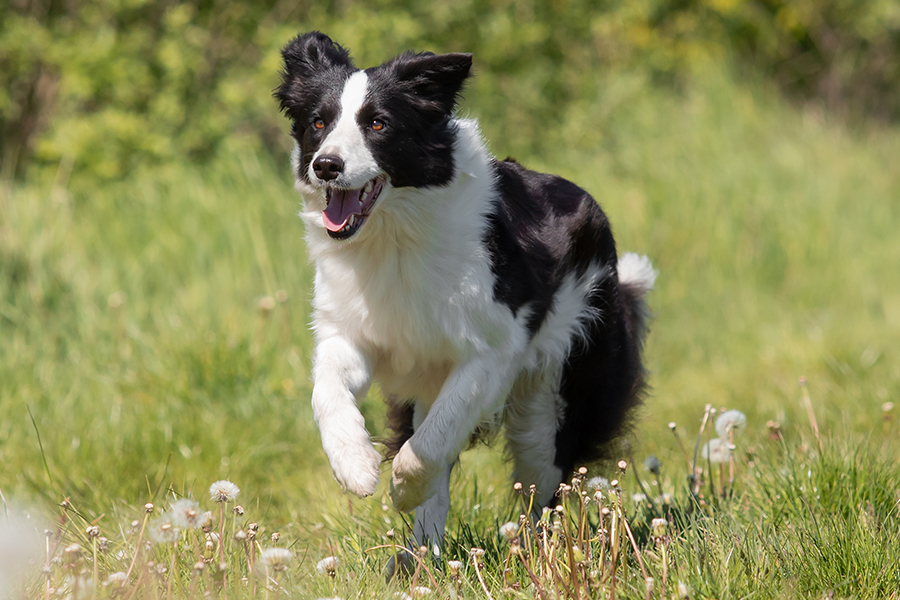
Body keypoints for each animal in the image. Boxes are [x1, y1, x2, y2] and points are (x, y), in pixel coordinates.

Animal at [272, 32, 652, 556]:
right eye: (318, 122)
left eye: (378, 123)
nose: (326, 165)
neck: (394, 238)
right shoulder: (350, 332)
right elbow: (326, 392)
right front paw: (356, 467)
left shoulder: (491, 350)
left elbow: (430, 445)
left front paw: (401, 488)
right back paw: (419, 559)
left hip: (553, 388)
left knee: (543, 483)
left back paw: (530, 550)